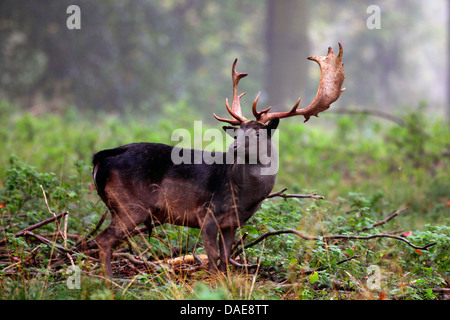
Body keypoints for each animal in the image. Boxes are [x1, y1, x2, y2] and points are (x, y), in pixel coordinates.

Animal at [91, 43, 344, 276]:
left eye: (258, 132)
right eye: (238, 131)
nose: (233, 146)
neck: (242, 197)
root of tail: (101, 157)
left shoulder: (231, 224)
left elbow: (225, 259)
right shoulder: (206, 213)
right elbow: (212, 259)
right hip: (131, 204)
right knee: (103, 240)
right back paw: (110, 282)